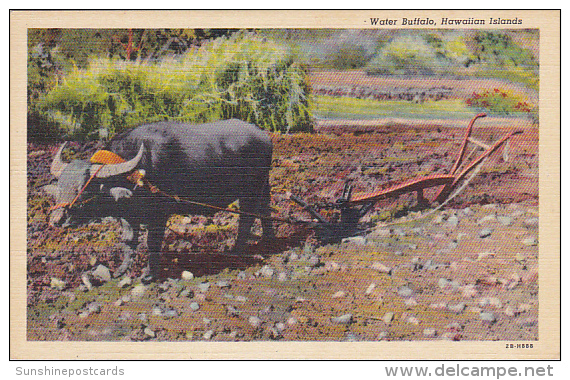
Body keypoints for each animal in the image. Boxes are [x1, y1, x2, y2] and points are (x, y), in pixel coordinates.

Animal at [43, 119, 274, 280]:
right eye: (60, 186)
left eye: (84, 188)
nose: (57, 219)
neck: (137, 173)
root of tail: (264, 136)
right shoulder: (128, 216)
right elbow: (129, 241)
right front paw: (121, 271)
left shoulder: (159, 216)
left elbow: (152, 242)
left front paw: (149, 274)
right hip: (263, 187)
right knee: (265, 211)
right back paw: (267, 240)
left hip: (250, 191)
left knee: (247, 219)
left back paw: (236, 251)